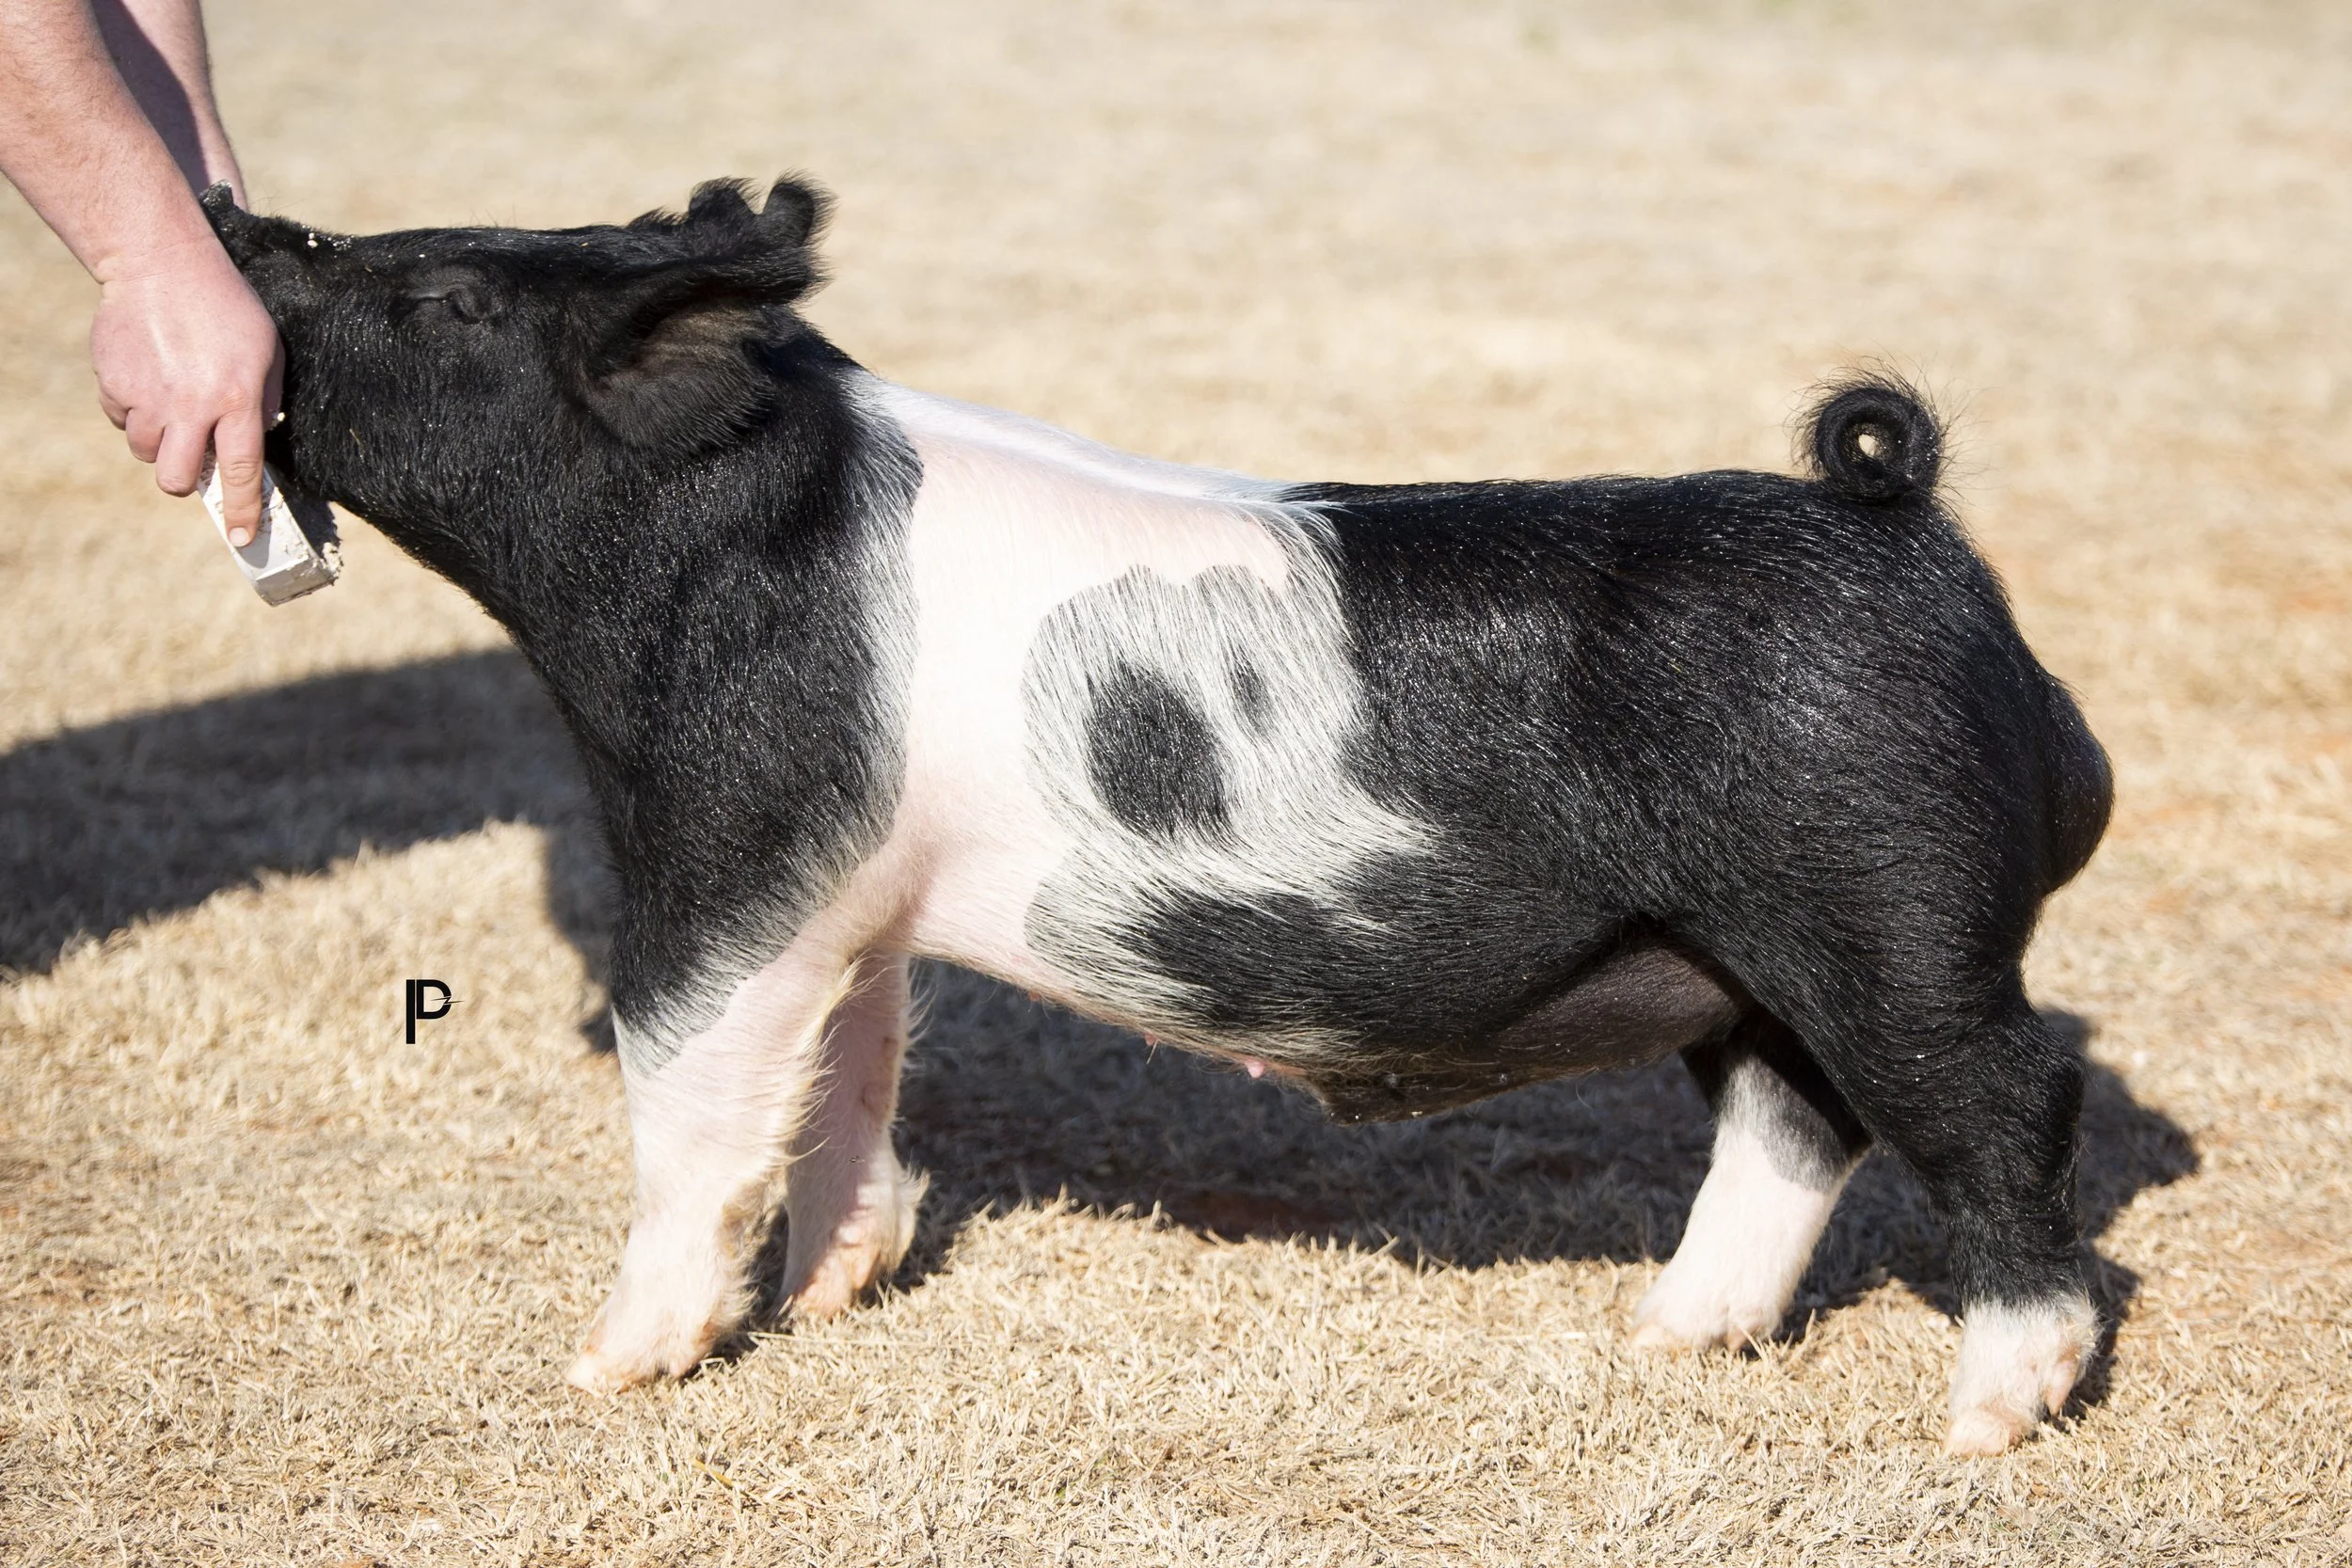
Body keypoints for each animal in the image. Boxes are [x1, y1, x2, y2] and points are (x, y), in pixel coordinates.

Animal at [203, 177, 2112, 1456]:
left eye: (454, 302)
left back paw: (1981, 1421)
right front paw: (831, 1293)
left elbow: (691, 1094)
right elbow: (852, 1076)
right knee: (1795, 1118)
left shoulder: (726, 843)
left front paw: (604, 1368)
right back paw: (1665, 1339)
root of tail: (1909, 533)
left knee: (2007, 1102)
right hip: (1745, 953)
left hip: (1890, 912)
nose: (247, 225)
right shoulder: (854, 892)